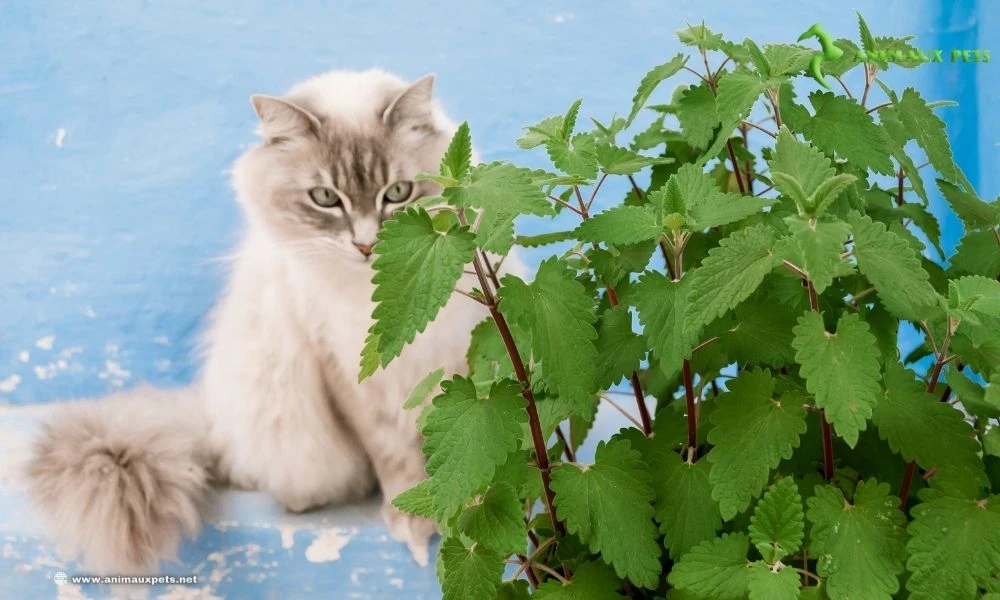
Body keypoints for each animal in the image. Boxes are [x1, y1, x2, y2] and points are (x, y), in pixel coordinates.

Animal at [24, 68, 504, 576]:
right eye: (325, 199)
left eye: (397, 193)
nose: (366, 245)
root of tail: (207, 412)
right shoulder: (349, 375)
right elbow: (395, 455)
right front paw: (411, 515)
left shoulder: (459, 361)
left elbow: (464, 454)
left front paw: (466, 506)